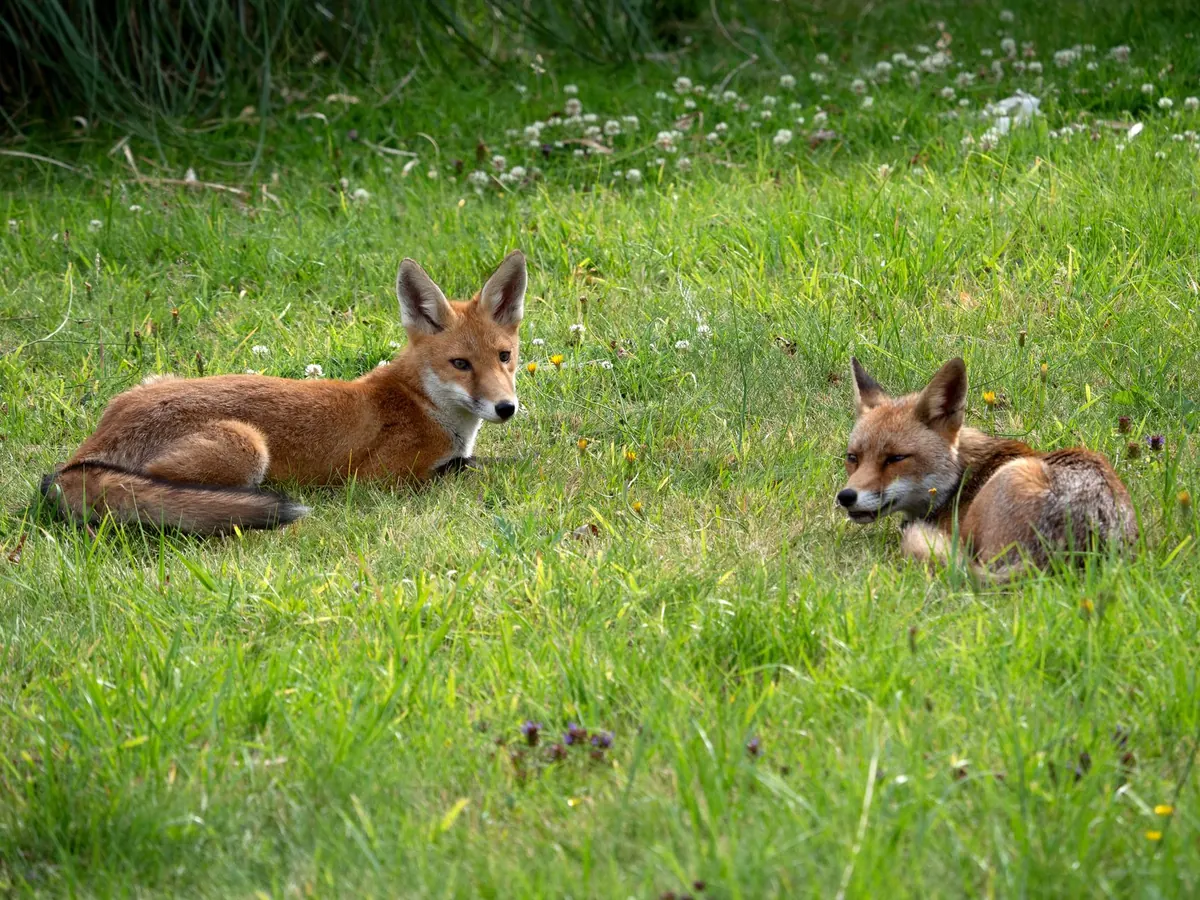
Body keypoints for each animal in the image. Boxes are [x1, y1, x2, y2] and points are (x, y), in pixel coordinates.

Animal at [39, 250, 528, 535]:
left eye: (504, 357)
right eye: (460, 364)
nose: (506, 408)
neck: (422, 403)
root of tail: (76, 461)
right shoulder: (383, 479)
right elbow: (479, 467)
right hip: (246, 447)